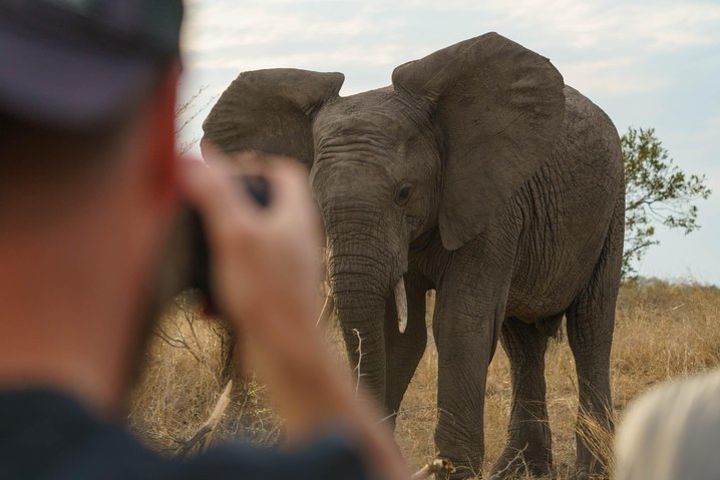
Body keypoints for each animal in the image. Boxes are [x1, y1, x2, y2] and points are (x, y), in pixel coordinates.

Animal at [201, 31, 624, 478]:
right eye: (313, 201)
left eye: (404, 192)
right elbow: (398, 335)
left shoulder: (490, 204)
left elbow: (459, 323)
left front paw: (455, 467)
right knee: (521, 340)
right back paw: (516, 469)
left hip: (612, 206)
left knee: (590, 329)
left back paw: (590, 469)